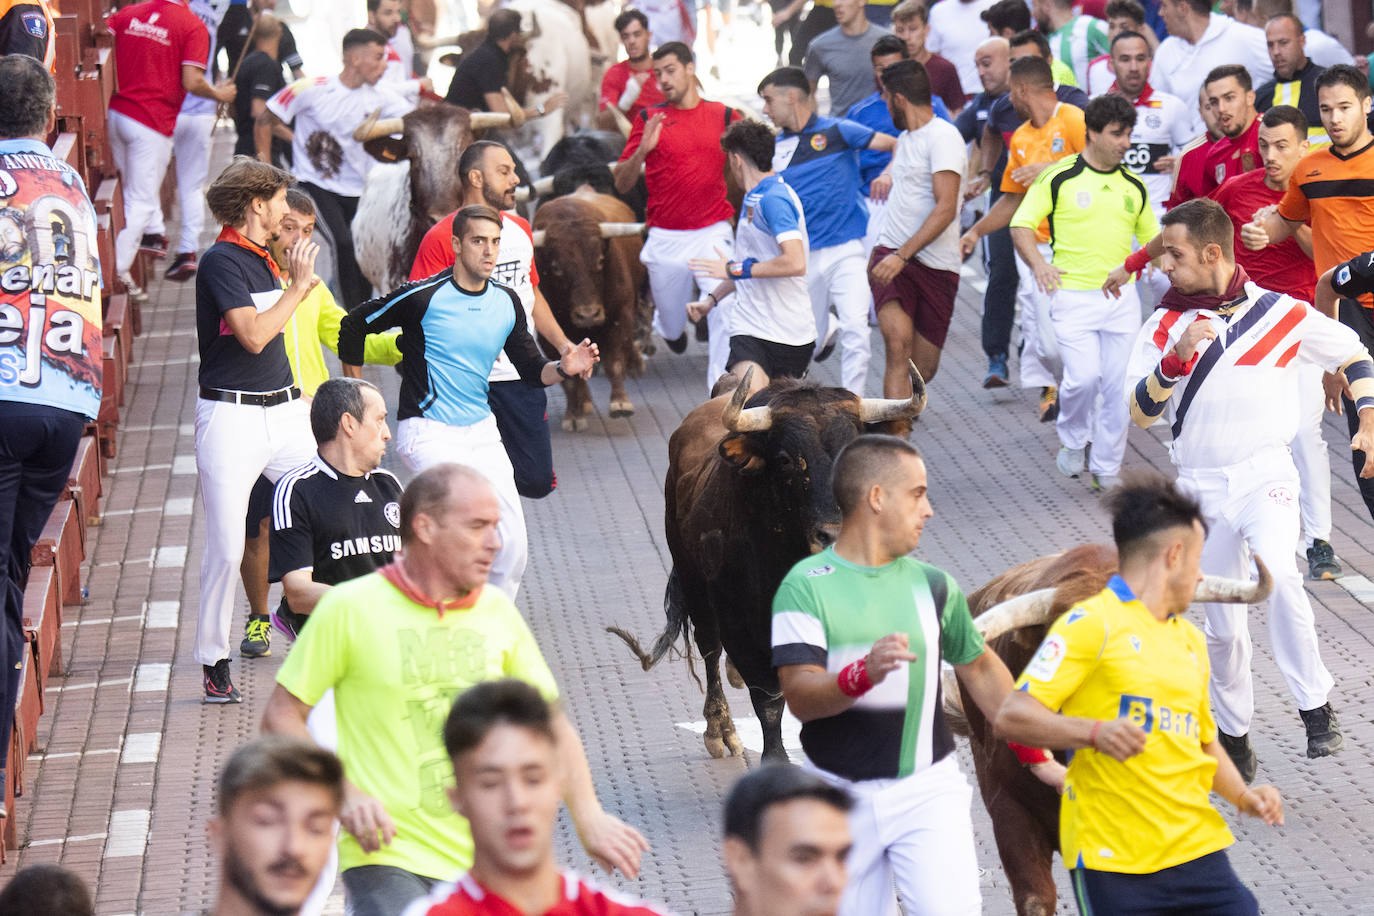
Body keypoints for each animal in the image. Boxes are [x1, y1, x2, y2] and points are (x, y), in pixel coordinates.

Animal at [530, 190, 648, 433]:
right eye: (556, 268)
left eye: (600, 260)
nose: (588, 315)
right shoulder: (547, 335)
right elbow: (568, 378)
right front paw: (573, 416)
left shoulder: (620, 317)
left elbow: (614, 362)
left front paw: (620, 403)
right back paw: (583, 402)